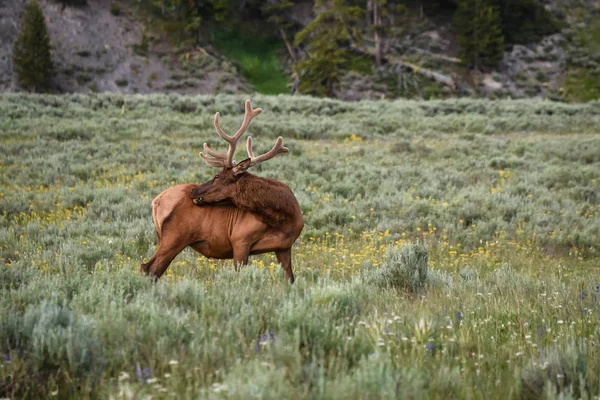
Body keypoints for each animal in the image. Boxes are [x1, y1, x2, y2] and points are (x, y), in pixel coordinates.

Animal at [141, 99, 304, 282]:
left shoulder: (284, 247)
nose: (194, 191)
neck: (283, 218)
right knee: (148, 268)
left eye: (217, 176)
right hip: (174, 237)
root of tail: (156, 201)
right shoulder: (240, 239)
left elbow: (290, 278)